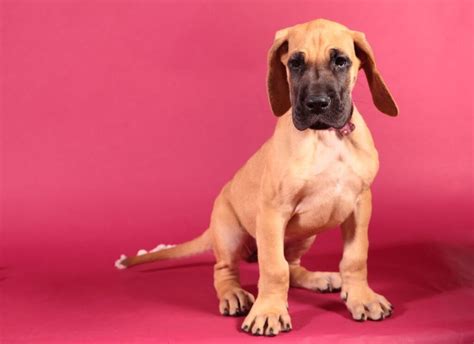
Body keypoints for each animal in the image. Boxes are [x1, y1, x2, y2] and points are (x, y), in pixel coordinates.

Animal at [116, 18, 398, 336]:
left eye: (341, 61)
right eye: (295, 64)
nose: (316, 104)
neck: (325, 138)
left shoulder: (360, 206)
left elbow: (355, 257)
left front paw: (362, 297)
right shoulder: (273, 212)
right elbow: (274, 269)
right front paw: (269, 311)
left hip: (305, 234)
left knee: (293, 265)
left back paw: (318, 278)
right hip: (230, 232)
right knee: (225, 270)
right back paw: (234, 295)